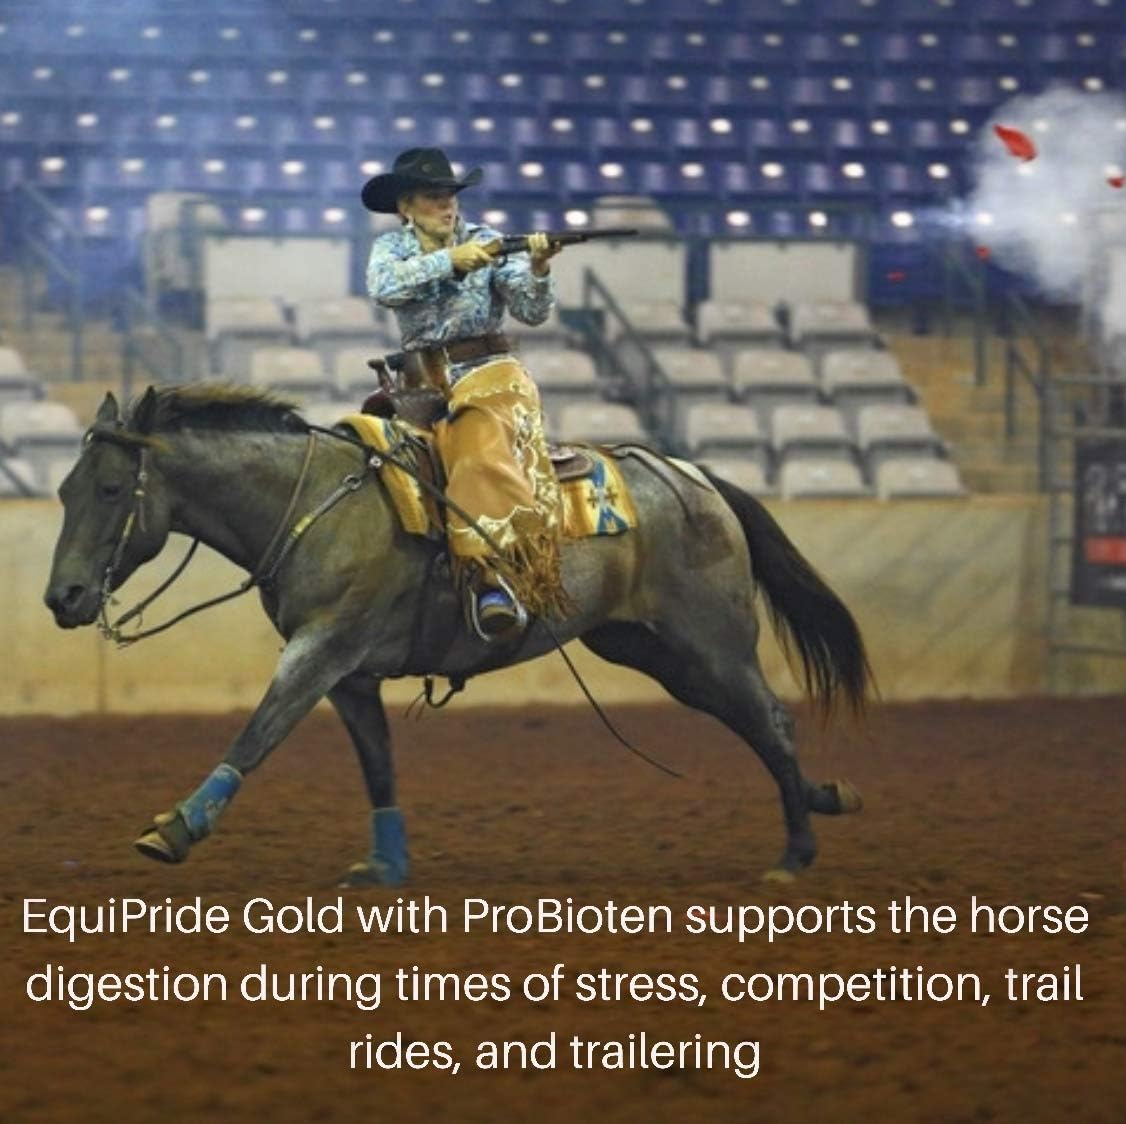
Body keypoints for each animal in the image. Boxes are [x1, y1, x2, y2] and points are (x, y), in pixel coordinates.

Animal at [44, 384, 873, 884]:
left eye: (112, 488)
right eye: (63, 489)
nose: (64, 596)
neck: (314, 502)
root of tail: (698, 477)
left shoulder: (319, 652)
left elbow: (255, 735)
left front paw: (176, 828)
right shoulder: (349, 675)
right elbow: (378, 764)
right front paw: (385, 867)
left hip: (710, 642)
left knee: (769, 720)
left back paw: (796, 853)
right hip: (650, 649)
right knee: (756, 724)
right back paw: (826, 797)